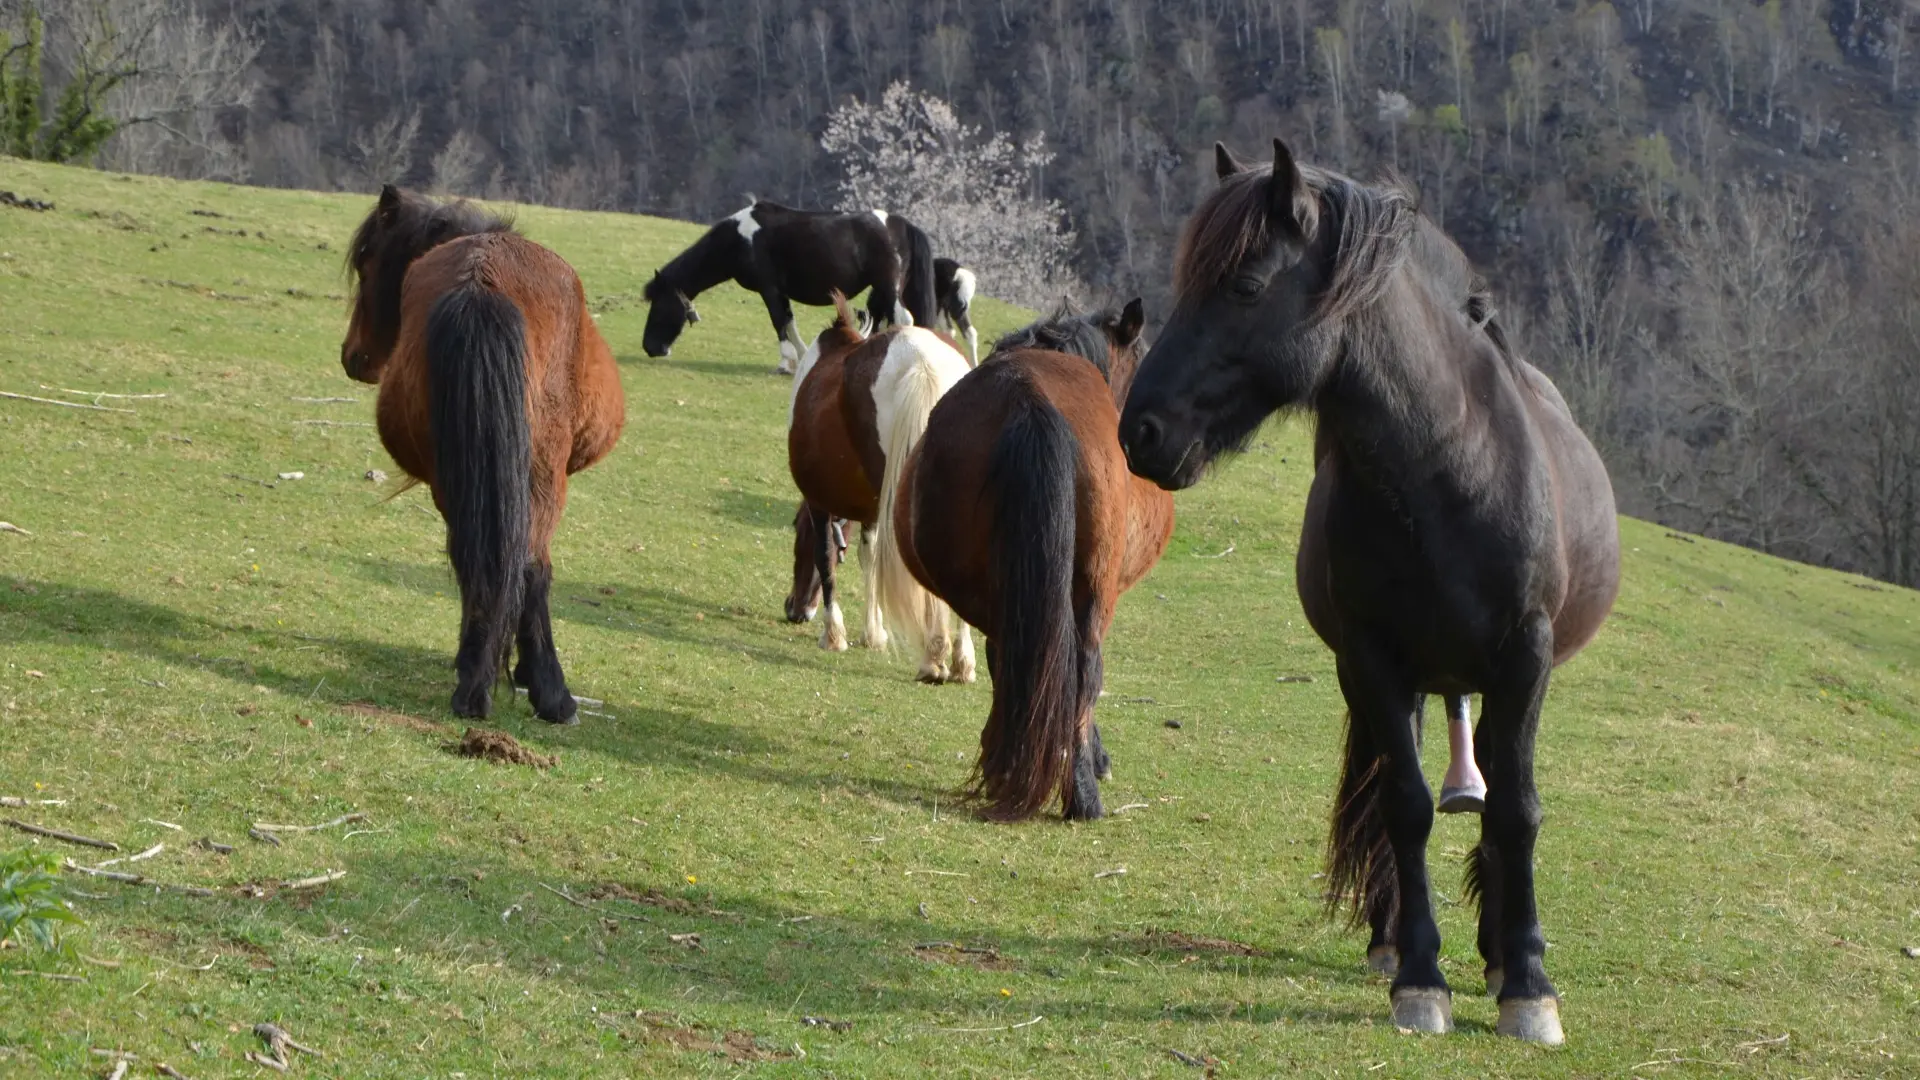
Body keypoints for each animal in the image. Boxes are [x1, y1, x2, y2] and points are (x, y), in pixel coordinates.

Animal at [337, 184, 622, 722]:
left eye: (366, 262)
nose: (353, 357)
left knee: (482, 554)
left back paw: (477, 678)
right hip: (540, 477)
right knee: (529, 564)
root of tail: (483, 283)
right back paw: (548, 693)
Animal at [648, 201, 940, 374]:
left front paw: (785, 362)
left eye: (658, 304)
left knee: (903, 318)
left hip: (888, 287)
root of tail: (899, 223)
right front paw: (801, 357)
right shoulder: (779, 292)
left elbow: (779, 322)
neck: (741, 239)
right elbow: (789, 322)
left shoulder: (769, 290)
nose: (650, 347)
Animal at [787, 292, 983, 680]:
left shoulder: (818, 501)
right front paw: (874, 633)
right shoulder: (873, 507)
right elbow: (871, 555)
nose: (794, 610)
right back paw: (960, 659)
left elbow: (827, 555)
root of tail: (922, 361)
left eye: (796, 539)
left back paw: (933, 656)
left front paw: (834, 633)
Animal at [1113, 143, 1620, 1045]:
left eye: (1246, 286)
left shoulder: (1524, 660)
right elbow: (1407, 806)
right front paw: (1420, 979)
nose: (1141, 432)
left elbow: (1516, 810)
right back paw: (1395, 943)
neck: (1450, 467)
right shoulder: (1375, 662)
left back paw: (1497, 954)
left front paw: (1528, 984)